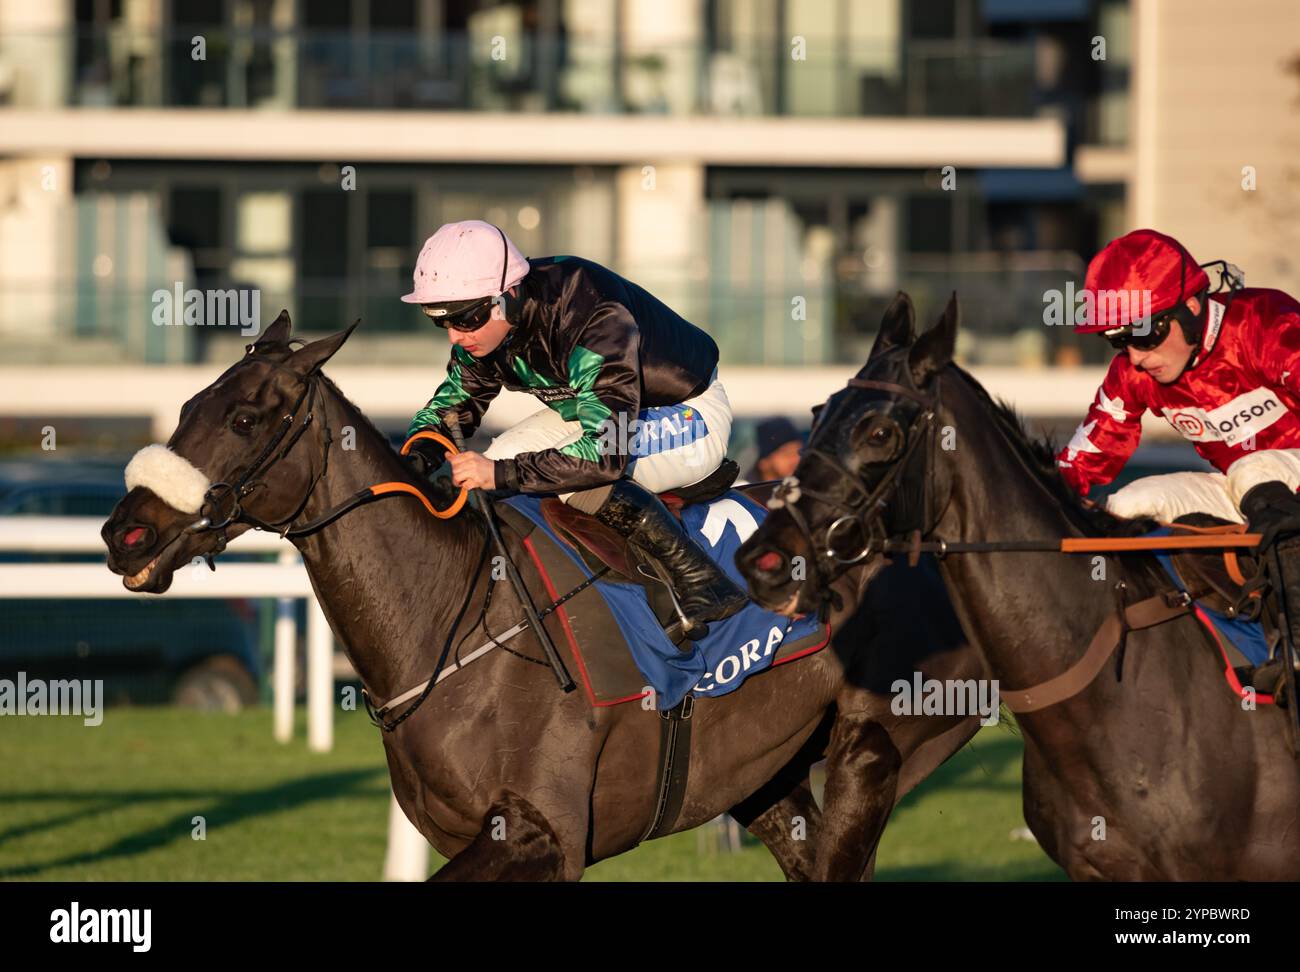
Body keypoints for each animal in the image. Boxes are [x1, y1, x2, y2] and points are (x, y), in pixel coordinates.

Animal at [101, 313, 977, 878]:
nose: (124, 534)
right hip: (770, 773)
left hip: (878, 746)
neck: (452, 620)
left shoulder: (543, 832)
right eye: (189, 407)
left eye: (247, 418)